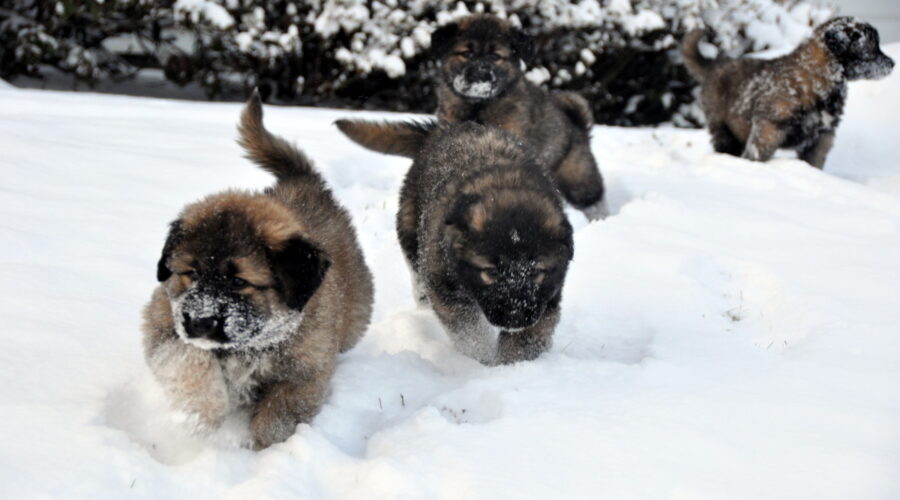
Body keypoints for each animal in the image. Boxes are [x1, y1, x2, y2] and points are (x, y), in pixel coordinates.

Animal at [143, 91, 372, 450]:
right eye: (191, 273)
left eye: (239, 281)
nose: (199, 321)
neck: (247, 347)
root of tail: (305, 183)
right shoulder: (163, 322)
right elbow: (187, 362)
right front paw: (205, 413)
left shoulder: (304, 373)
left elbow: (278, 416)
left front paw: (264, 449)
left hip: (354, 320)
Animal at [334, 119, 572, 366]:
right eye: (491, 272)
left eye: (536, 272)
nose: (514, 319)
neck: (506, 185)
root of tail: (443, 129)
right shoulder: (445, 285)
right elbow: (469, 331)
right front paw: (482, 359)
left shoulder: (547, 297)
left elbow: (529, 337)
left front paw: (511, 364)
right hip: (410, 230)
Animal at [430, 14, 608, 219]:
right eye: (467, 53)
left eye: (495, 56)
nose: (479, 75)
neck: (478, 106)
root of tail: (576, 121)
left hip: (577, 175)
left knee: (590, 196)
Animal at [684, 17, 892, 168]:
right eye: (873, 48)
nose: (892, 64)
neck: (820, 79)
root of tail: (713, 65)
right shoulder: (769, 127)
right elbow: (758, 153)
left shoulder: (822, 136)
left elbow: (814, 162)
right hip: (722, 126)